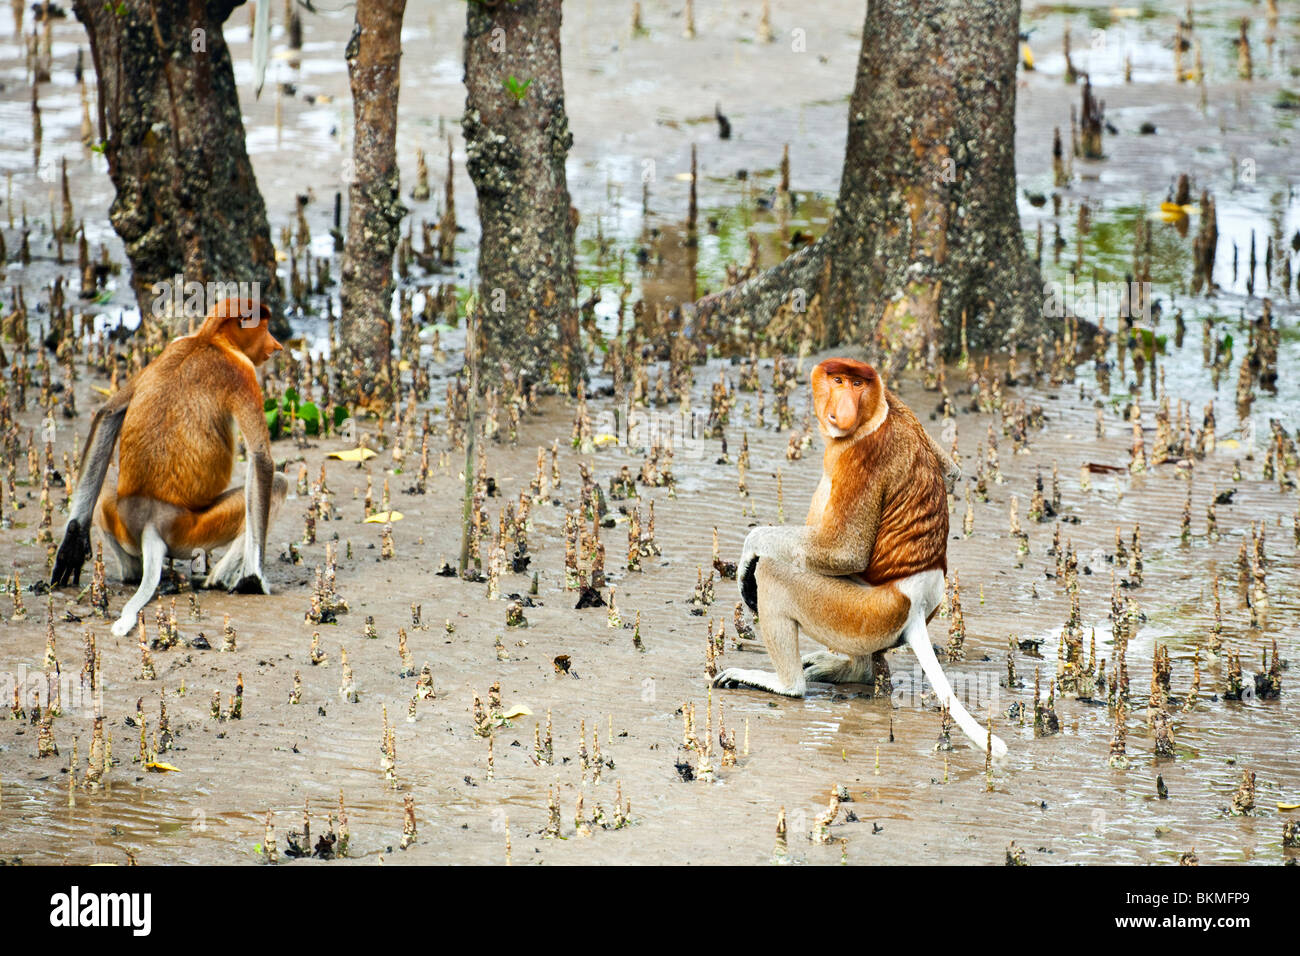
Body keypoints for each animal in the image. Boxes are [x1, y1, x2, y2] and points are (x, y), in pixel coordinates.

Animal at [51, 299, 289, 634]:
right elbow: (261, 460)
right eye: (265, 327)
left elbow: (108, 413)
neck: (209, 339)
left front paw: (71, 548)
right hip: (195, 530)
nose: (276, 345)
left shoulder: (173, 344)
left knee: (105, 481)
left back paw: (119, 565)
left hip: (122, 514)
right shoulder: (241, 371)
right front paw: (254, 580)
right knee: (278, 483)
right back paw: (216, 580)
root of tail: (153, 519)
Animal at [717, 356, 1008, 759]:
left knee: (775, 575)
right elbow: (951, 471)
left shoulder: (861, 458)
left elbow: (845, 551)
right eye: (838, 380)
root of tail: (916, 602)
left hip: (861, 612)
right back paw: (848, 670)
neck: (876, 417)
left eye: (857, 384)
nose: (844, 408)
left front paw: (749, 553)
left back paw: (785, 683)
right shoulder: (902, 408)